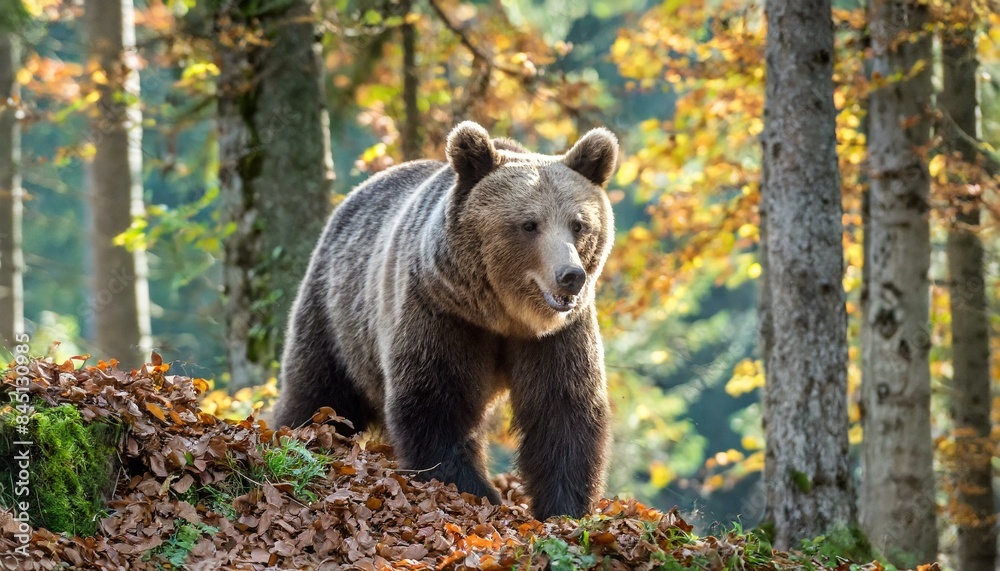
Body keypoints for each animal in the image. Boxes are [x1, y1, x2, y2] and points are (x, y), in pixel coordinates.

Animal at [273, 121, 618, 519]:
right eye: (530, 224)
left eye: (578, 225)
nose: (570, 275)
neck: (504, 316)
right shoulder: (441, 312)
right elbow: (436, 400)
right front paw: (476, 492)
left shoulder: (555, 335)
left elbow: (563, 409)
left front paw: (564, 506)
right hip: (337, 314)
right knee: (318, 389)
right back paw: (296, 434)